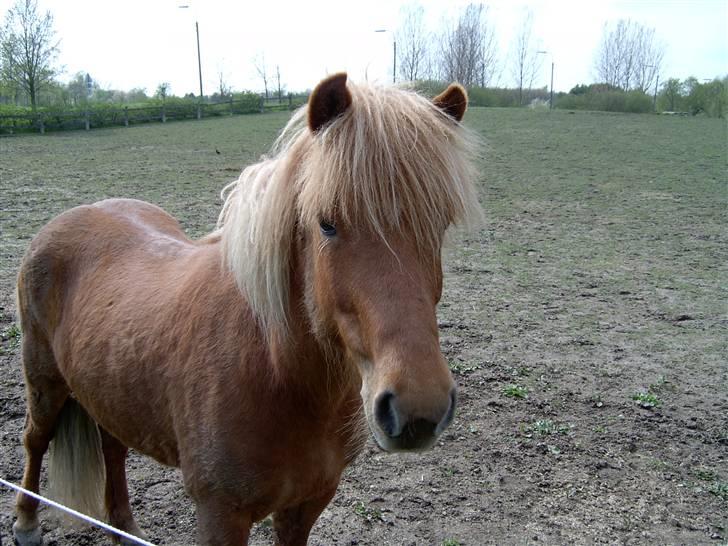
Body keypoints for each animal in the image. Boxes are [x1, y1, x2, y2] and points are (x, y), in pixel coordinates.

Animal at [12, 73, 478, 544]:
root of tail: (73, 215)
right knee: (35, 440)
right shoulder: (220, 514)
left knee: (113, 447)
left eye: (439, 225)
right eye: (326, 224)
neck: (278, 372)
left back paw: (123, 527)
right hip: (44, 380)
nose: (418, 409)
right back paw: (27, 523)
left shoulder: (307, 503)